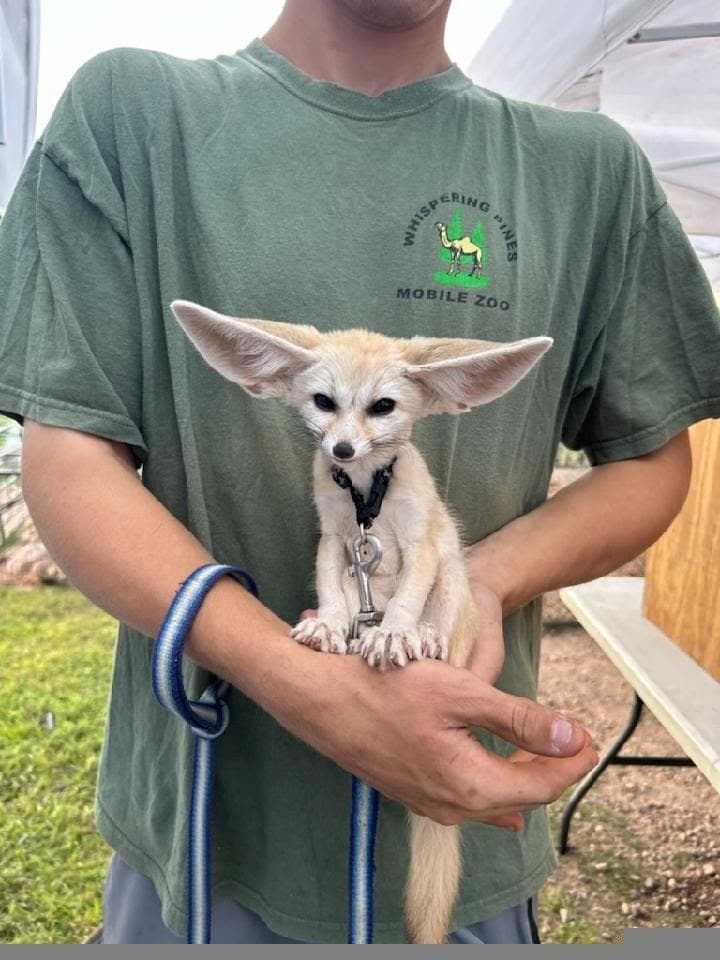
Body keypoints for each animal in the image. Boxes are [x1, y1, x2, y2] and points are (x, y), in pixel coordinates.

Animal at [171, 299, 552, 944]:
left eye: (383, 407)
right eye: (324, 402)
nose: (343, 451)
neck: (367, 495)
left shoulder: (423, 545)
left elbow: (406, 596)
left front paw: (396, 631)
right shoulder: (335, 543)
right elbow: (330, 588)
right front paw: (328, 625)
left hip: (455, 583)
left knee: (439, 617)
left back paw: (422, 638)